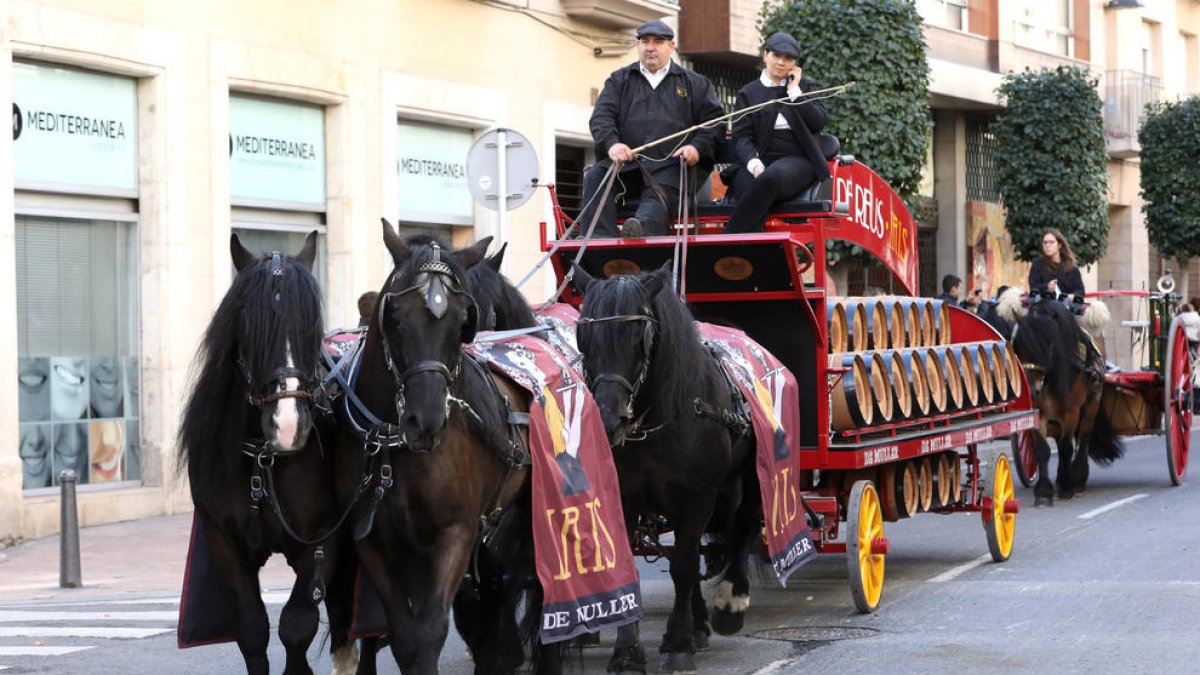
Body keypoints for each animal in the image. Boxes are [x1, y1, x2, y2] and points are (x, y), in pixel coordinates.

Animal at [175, 233, 357, 672]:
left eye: (312, 324)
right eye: (246, 322)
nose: (288, 425)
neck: (263, 462)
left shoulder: (321, 542)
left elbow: (296, 625)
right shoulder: (226, 543)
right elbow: (252, 630)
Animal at [331, 222, 549, 672]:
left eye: (464, 320)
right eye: (396, 315)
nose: (426, 420)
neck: (395, 447)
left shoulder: (456, 533)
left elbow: (430, 630)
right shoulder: (375, 543)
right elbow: (406, 636)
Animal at [571, 265, 758, 667]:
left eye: (638, 338)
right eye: (583, 337)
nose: (608, 419)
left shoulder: (700, 495)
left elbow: (684, 564)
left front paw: (678, 643)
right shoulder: (626, 495)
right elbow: (638, 564)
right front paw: (628, 652)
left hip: (750, 474)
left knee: (744, 527)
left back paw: (729, 603)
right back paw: (700, 621)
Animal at [1008, 291, 1118, 502]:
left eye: (1047, 345)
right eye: (1017, 346)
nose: (1031, 390)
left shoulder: (1071, 413)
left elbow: (1067, 447)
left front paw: (1067, 487)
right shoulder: (1039, 413)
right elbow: (1042, 450)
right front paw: (1044, 491)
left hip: (1090, 408)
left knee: (1083, 439)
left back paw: (1078, 478)